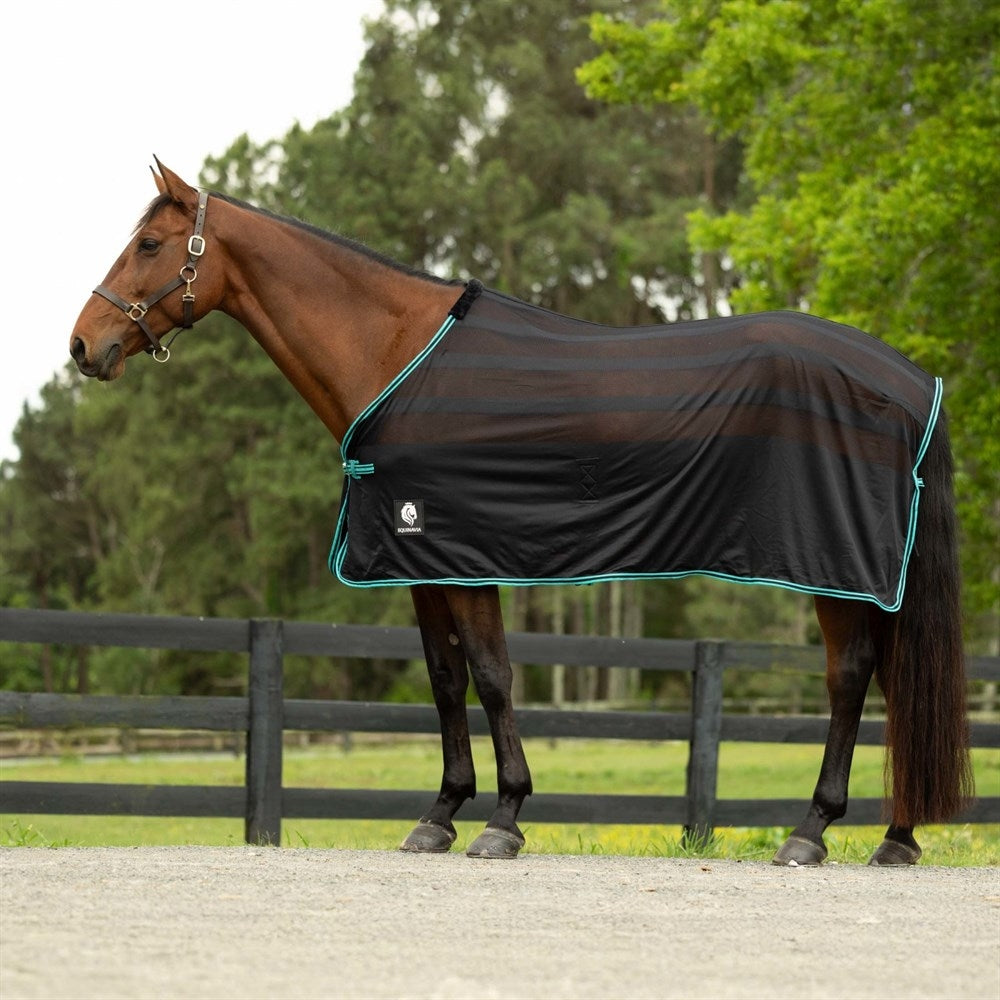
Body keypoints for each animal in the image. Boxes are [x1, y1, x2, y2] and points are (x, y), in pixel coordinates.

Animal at [70, 160, 973, 864]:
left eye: (149, 245)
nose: (83, 345)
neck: (399, 352)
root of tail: (910, 379)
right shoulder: (422, 558)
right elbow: (445, 681)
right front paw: (439, 815)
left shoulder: (470, 556)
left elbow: (494, 676)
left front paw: (503, 818)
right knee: (894, 680)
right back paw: (896, 837)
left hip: (838, 570)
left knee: (853, 678)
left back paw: (812, 831)